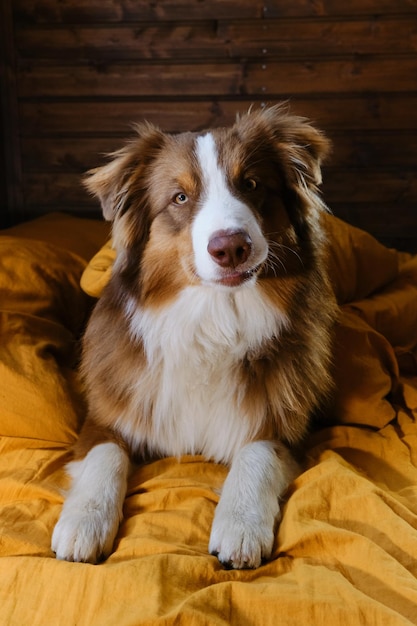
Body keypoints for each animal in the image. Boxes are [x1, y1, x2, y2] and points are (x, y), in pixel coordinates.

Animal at [52, 103, 338, 564]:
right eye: (180, 198)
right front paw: (83, 522)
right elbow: (104, 455)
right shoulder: (104, 417)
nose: (231, 247)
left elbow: (256, 454)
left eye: (251, 184)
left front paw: (240, 525)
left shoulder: (287, 426)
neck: (212, 320)